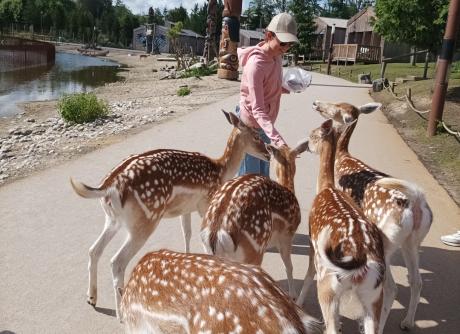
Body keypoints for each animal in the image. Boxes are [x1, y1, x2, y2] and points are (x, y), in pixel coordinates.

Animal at [68, 111, 270, 320]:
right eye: (256, 136)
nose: (268, 154)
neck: (221, 170)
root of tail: (108, 187)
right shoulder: (205, 203)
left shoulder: (186, 209)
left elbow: (186, 233)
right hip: (145, 220)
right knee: (117, 261)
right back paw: (120, 315)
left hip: (113, 219)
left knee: (94, 250)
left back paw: (92, 298)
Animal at [199, 143, 308, 298]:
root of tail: (217, 231)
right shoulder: (287, 235)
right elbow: (288, 266)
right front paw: (293, 295)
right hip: (254, 250)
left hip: (209, 252)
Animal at [294, 120, 384, 334]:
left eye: (313, 135)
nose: (305, 144)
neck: (326, 187)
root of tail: (361, 257)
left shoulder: (312, 244)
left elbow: (308, 274)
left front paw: (299, 302)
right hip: (374, 294)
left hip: (328, 282)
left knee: (331, 326)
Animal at [310, 100, 434, 330]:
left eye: (335, 107)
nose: (316, 103)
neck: (342, 157)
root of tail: (416, 202)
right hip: (413, 240)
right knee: (416, 280)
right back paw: (407, 322)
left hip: (387, 241)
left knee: (391, 288)